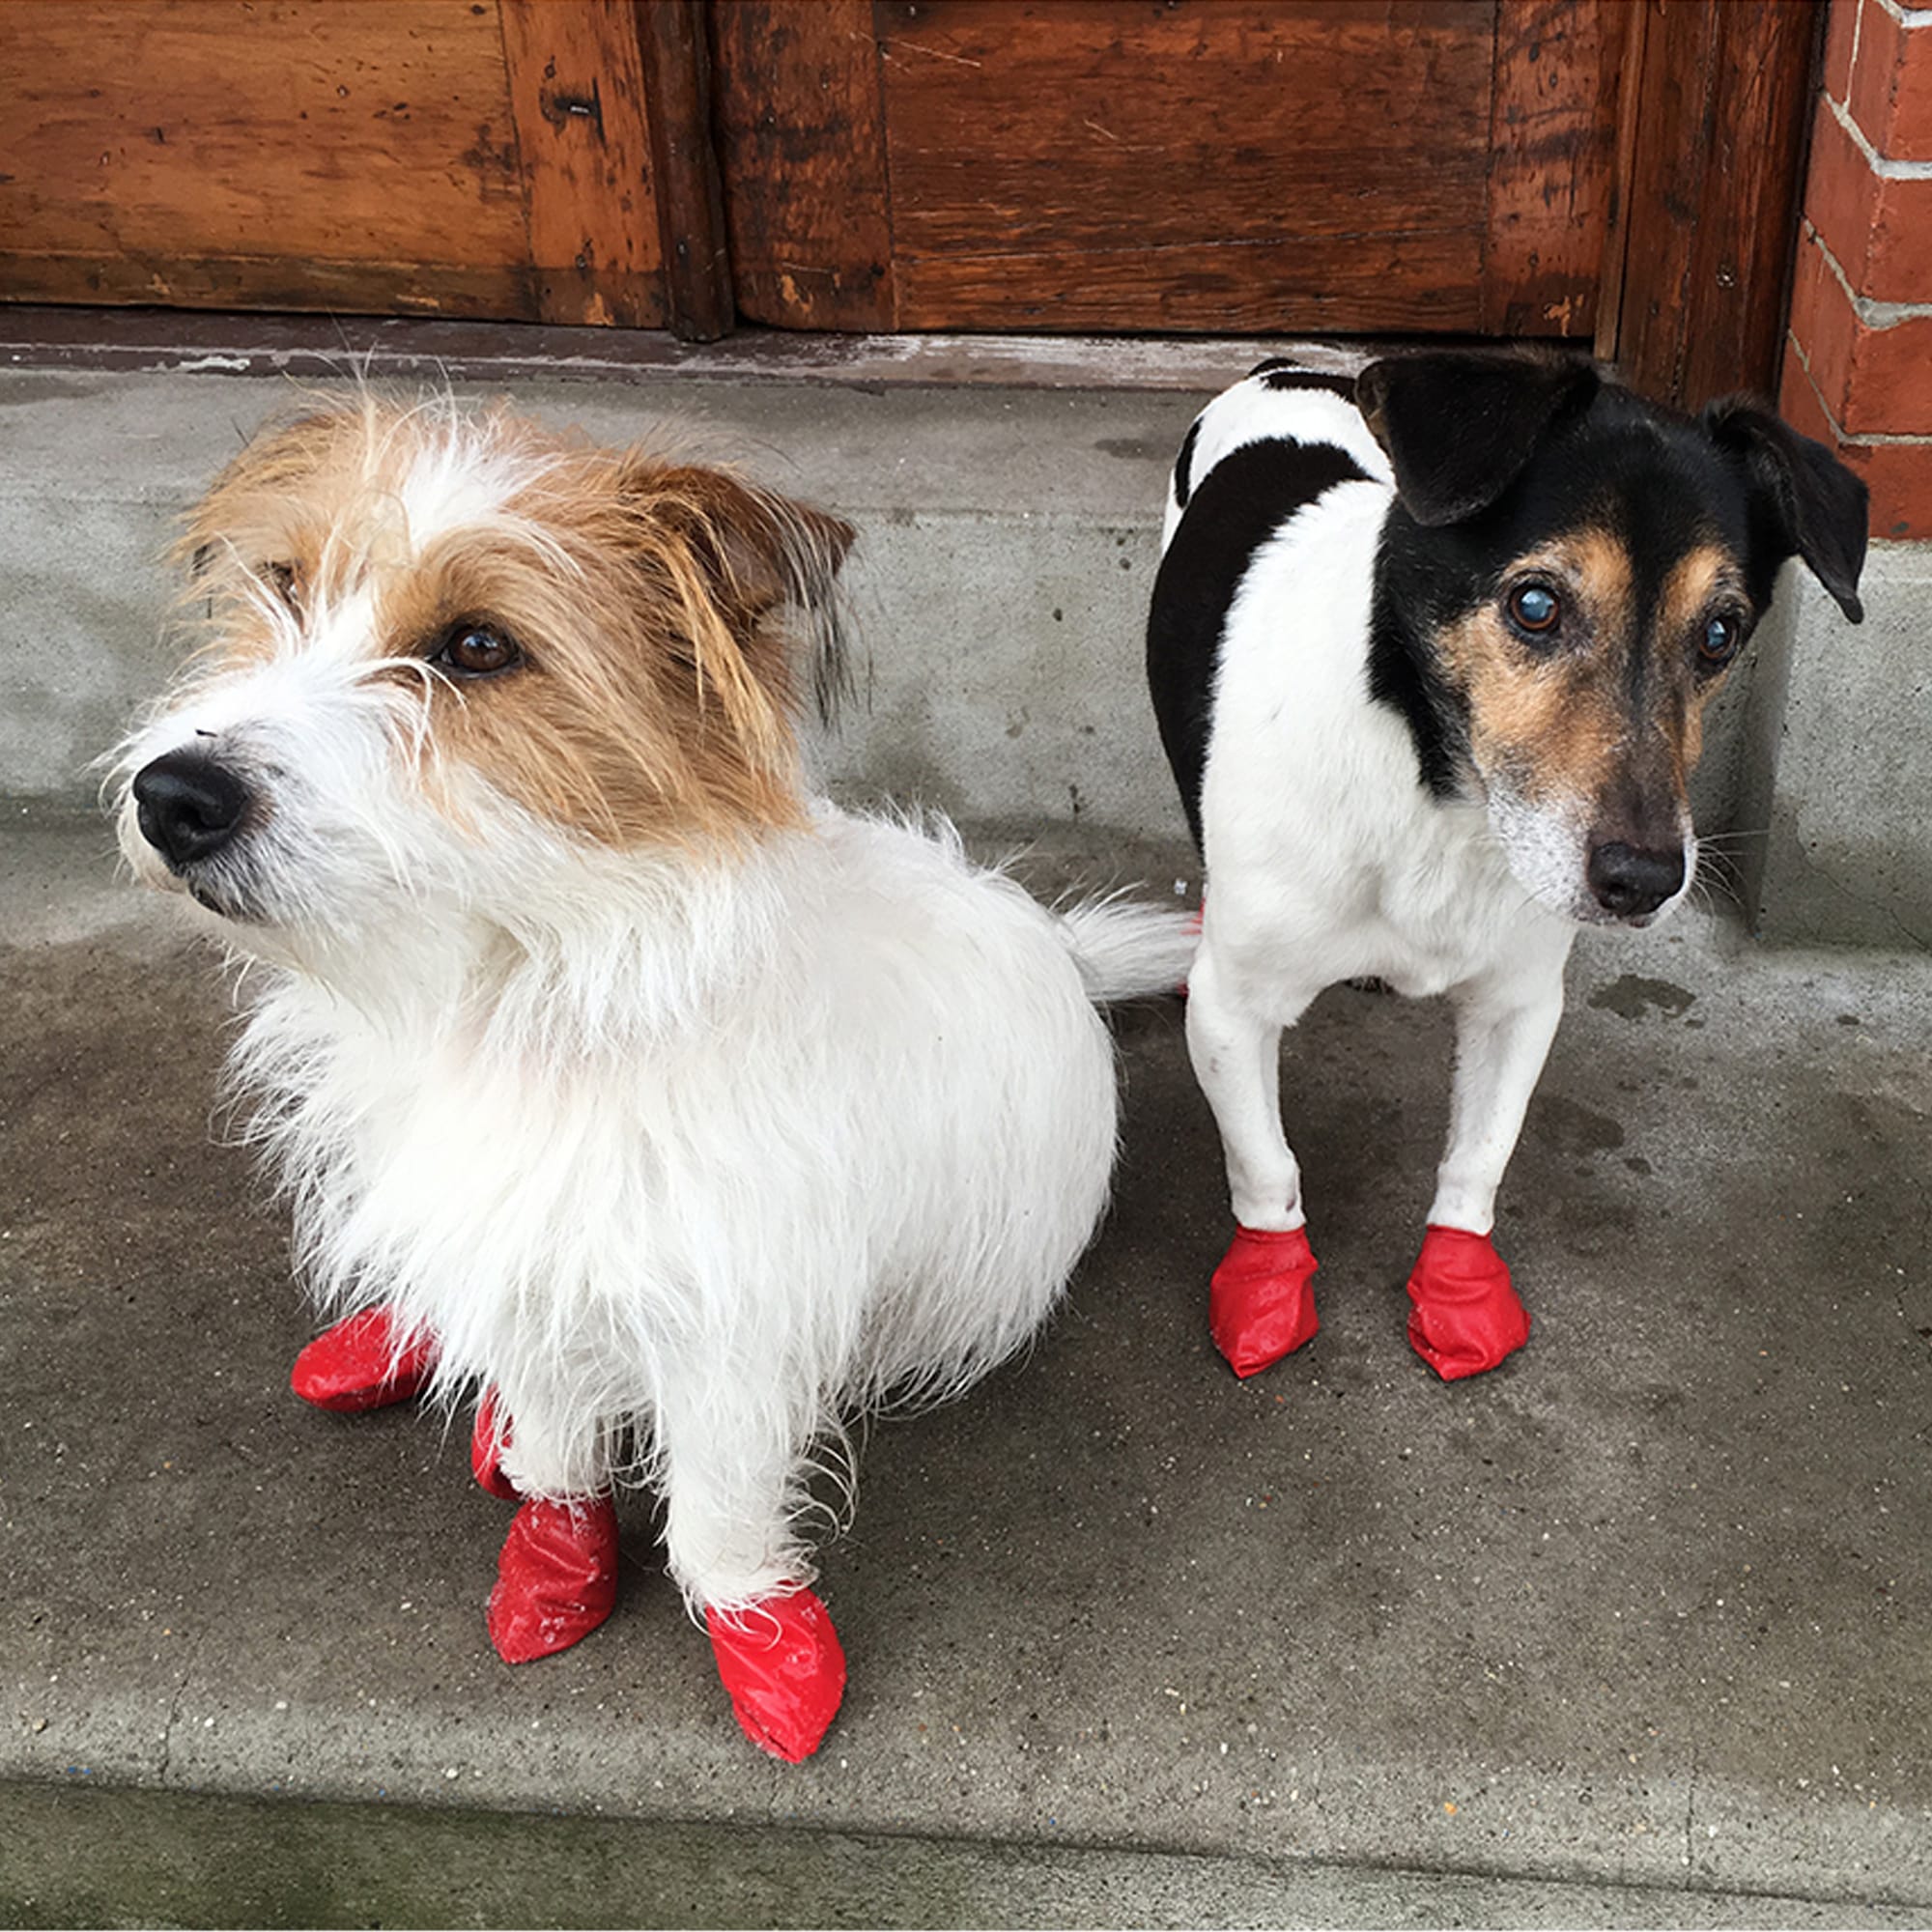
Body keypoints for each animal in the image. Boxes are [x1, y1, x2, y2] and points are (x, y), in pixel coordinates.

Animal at [117, 396, 1190, 1770]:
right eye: (285, 585)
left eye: (478, 646)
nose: (172, 795)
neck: (540, 986)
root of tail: (1058, 947)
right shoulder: (524, 1251)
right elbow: (555, 1439)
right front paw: (552, 1547)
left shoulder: (727, 1324)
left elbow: (717, 1512)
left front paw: (762, 1637)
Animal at [1144, 355, 1870, 1383]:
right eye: (1535, 605)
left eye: (1721, 633)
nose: (1643, 881)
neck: (1438, 794)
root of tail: (1285, 367)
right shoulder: (1235, 1012)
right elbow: (1266, 1165)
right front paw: (1268, 1285)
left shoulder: (1519, 1003)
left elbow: (1478, 1156)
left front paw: (1459, 1289)